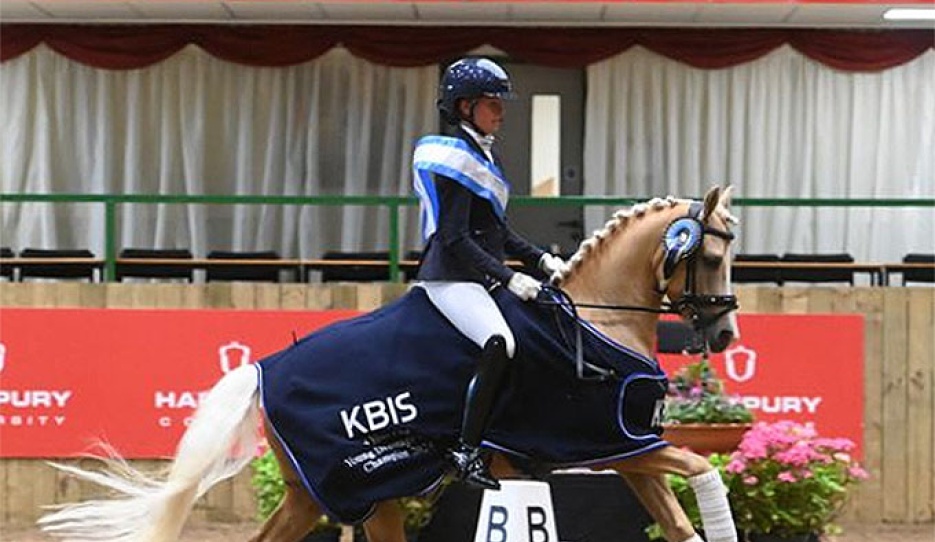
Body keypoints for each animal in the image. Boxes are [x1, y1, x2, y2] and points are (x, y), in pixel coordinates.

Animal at [36, 187, 744, 542]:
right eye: (710, 257)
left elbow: (680, 527)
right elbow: (704, 468)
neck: (598, 320)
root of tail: (261, 371)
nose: (725, 332)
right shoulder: (610, 443)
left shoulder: (626, 451)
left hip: (346, 496)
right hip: (358, 488)